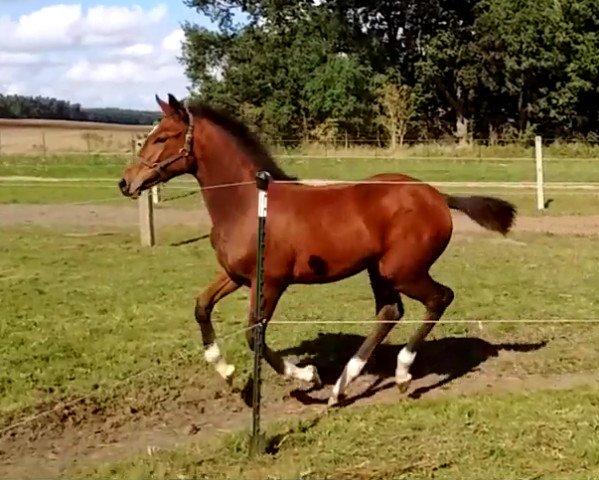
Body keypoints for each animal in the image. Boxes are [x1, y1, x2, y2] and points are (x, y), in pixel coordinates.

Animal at [118, 95, 516, 406]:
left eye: (162, 137)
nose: (126, 182)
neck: (249, 204)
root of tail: (438, 197)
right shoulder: (236, 275)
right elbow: (202, 306)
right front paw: (226, 369)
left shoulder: (271, 282)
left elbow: (254, 335)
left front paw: (306, 375)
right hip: (379, 270)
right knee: (390, 312)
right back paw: (342, 387)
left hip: (402, 270)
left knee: (439, 298)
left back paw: (401, 374)